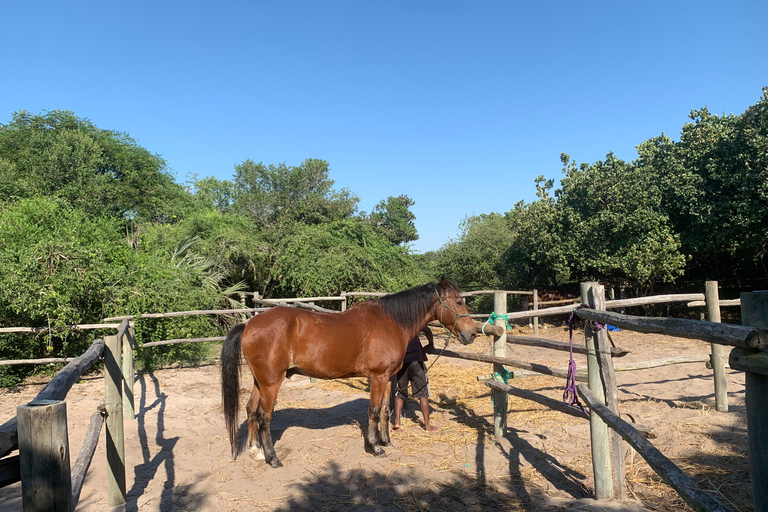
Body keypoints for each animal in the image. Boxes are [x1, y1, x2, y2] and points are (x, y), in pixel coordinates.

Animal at [220, 277, 477, 467]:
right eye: (458, 302)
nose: (472, 334)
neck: (390, 322)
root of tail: (249, 324)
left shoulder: (386, 378)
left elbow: (385, 410)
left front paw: (386, 441)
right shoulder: (377, 377)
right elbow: (374, 411)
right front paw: (374, 447)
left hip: (260, 381)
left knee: (251, 410)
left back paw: (256, 451)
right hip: (272, 382)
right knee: (264, 416)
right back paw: (272, 458)